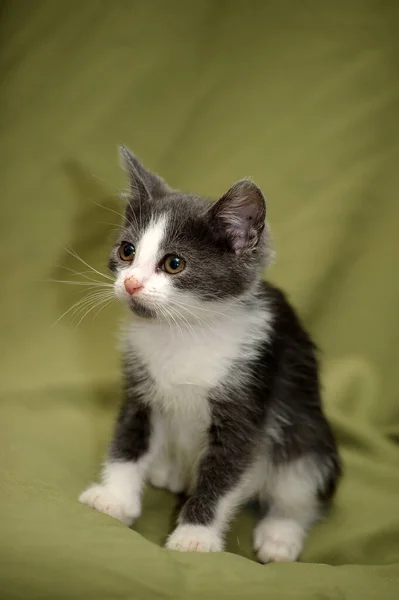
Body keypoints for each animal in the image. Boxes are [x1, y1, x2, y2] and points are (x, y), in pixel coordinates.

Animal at [79, 145, 342, 564]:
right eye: (127, 251)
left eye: (174, 263)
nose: (131, 283)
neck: (184, 331)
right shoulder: (139, 386)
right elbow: (128, 440)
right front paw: (114, 498)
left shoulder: (248, 398)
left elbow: (223, 475)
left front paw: (194, 536)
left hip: (309, 434)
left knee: (299, 485)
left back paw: (280, 533)